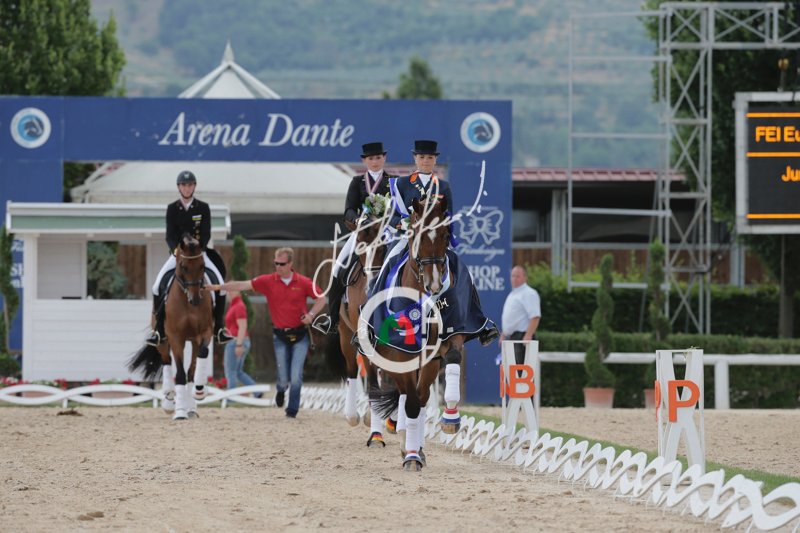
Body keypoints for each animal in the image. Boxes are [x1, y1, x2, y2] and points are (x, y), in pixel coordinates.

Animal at [128, 234, 215, 420]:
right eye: (183, 266)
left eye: (202, 265)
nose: (195, 299)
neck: (187, 303)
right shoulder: (176, 338)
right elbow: (179, 373)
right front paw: (179, 412)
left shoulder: (204, 333)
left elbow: (199, 358)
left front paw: (200, 390)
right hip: (162, 339)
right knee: (166, 361)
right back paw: (169, 402)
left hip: (193, 341)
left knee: (191, 369)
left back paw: (191, 408)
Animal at [324, 212, 394, 447]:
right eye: (360, 249)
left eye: (383, 248)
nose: (371, 283)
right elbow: (370, 377)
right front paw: (375, 432)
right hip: (346, 334)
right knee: (353, 369)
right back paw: (354, 416)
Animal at [368, 195, 466, 471]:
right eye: (417, 234)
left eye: (445, 234)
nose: (434, 284)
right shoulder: (399, 352)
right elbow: (410, 402)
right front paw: (410, 456)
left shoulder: (448, 338)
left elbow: (453, 359)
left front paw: (451, 417)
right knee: (408, 396)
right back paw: (406, 444)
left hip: (428, 362)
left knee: (421, 397)